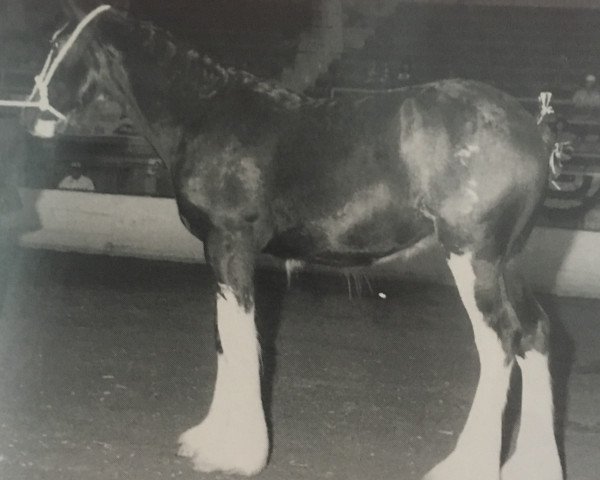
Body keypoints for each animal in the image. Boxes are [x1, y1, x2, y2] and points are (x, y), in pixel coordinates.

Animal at [19, 1, 564, 478]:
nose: (29, 115)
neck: (204, 113)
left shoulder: (229, 245)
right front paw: (210, 438)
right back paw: (532, 466)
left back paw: (464, 467)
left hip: (471, 257)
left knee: (499, 342)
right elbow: (226, 337)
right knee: (535, 333)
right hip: (508, 262)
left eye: (56, 44)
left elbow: (239, 338)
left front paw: (236, 453)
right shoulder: (221, 252)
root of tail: (531, 130)